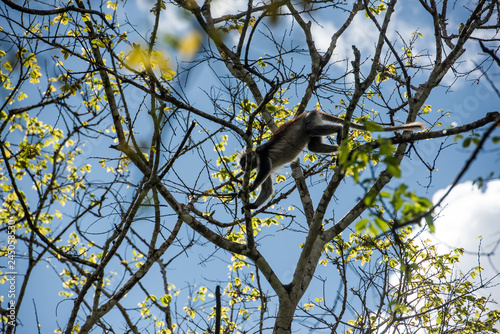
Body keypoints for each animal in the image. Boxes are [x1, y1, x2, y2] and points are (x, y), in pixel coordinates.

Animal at [236, 110, 424, 211]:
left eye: (244, 162)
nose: (244, 168)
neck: (256, 155)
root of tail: (310, 111)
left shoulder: (262, 155)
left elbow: (265, 169)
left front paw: (250, 187)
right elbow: (267, 189)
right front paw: (252, 206)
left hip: (308, 121)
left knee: (311, 130)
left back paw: (341, 132)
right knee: (313, 145)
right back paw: (344, 151)